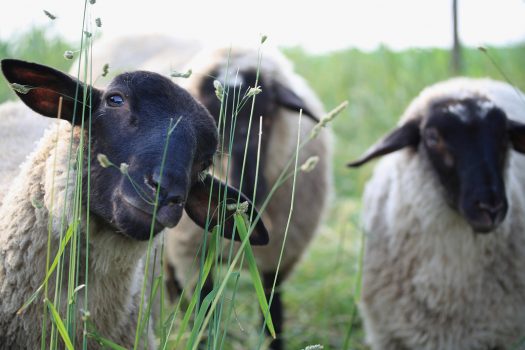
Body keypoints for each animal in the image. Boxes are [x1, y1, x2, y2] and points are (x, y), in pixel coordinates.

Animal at [164, 46, 332, 350]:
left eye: (268, 113)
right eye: (210, 122)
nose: (247, 187)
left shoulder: (279, 256)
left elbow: (272, 311)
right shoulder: (191, 256)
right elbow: (204, 310)